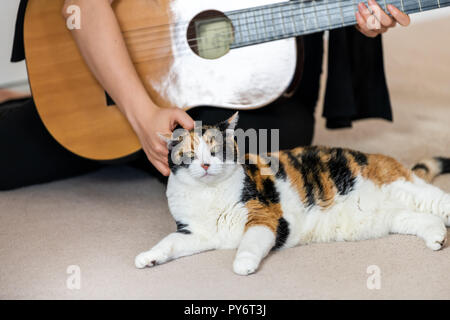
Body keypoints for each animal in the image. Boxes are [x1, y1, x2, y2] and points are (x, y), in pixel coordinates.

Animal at [134, 113, 450, 276]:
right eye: (189, 155)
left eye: (216, 151)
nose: (205, 165)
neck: (208, 194)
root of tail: (389, 161)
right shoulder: (194, 233)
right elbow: (169, 243)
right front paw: (148, 257)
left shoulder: (265, 217)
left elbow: (249, 243)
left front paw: (243, 264)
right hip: (393, 216)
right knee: (425, 219)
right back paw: (437, 238)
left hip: (407, 189)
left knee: (440, 202)